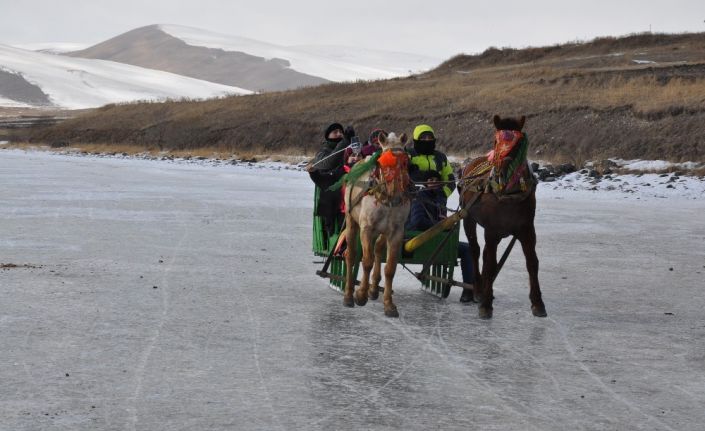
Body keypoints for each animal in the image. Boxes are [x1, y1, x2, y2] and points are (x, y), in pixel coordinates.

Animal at [342, 133, 410, 318]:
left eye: (405, 161)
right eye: (383, 162)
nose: (397, 193)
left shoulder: (396, 232)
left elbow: (390, 268)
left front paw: (389, 304)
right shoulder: (366, 228)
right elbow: (366, 261)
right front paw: (360, 294)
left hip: (382, 232)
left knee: (378, 249)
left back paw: (373, 289)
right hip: (351, 221)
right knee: (351, 254)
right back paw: (349, 295)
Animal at [460, 116, 548, 318]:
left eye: (519, 143)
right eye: (495, 141)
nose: (502, 169)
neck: (509, 194)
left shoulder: (527, 229)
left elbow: (532, 262)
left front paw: (537, 302)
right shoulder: (492, 230)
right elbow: (491, 263)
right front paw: (485, 304)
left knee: (485, 255)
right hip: (468, 219)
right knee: (475, 251)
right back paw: (479, 289)